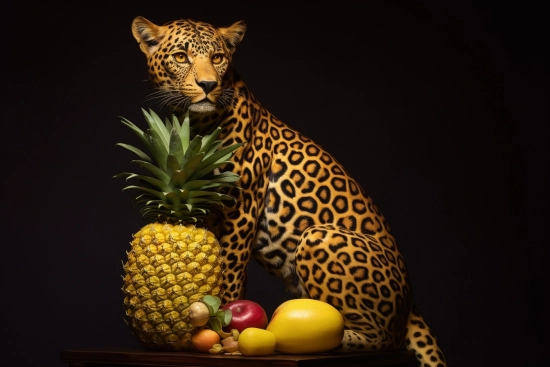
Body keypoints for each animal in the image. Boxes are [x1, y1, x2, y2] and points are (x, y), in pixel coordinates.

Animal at [133, 15, 448, 366]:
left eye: (217, 58)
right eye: (180, 57)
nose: (208, 85)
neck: (195, 127)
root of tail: (412, 303)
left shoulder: (243, 208)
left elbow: (230, 271)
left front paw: (225, 324)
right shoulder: (206, 211)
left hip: (318, 237)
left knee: (385, 338)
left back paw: (326, 340)